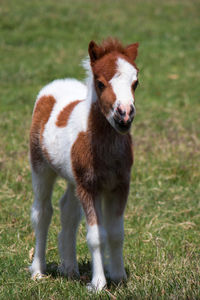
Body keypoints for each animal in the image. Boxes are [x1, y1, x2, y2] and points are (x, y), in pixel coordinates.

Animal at [29, 38, 139, 292]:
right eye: (100, 83)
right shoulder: (90, 188)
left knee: (68, 210)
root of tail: (58, 83)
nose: (124, 116)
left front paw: (119, 277)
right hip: (40, 167)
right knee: (43, 212)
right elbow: (96, 236)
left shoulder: (120, 186)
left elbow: (116, 233)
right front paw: (98, 284)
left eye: (135, 83)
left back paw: (70, 269)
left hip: (73, 179)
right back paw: (38, 271)